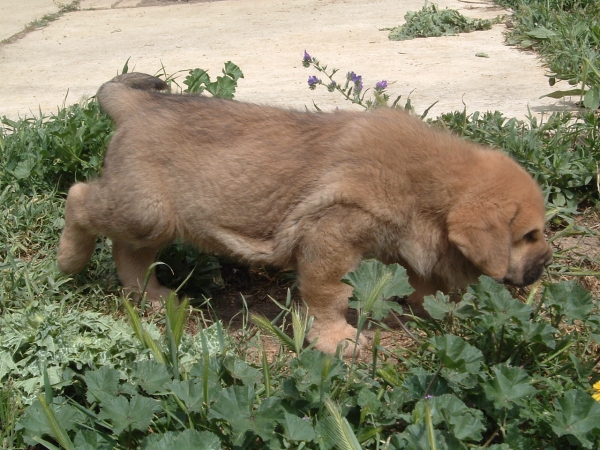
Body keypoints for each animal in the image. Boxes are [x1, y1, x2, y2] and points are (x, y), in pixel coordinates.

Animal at [57, 73, 552, 356]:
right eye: (528, 235)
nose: (546, 264)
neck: (426, 183)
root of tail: (138, 105)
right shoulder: (331, 238)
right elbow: (329, 295)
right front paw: (338, 340)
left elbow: (421, 280)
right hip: (145, 211)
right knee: (79, 198)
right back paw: (68, 261)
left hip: (155, 222)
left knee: (130, 254)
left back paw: (154, 296)